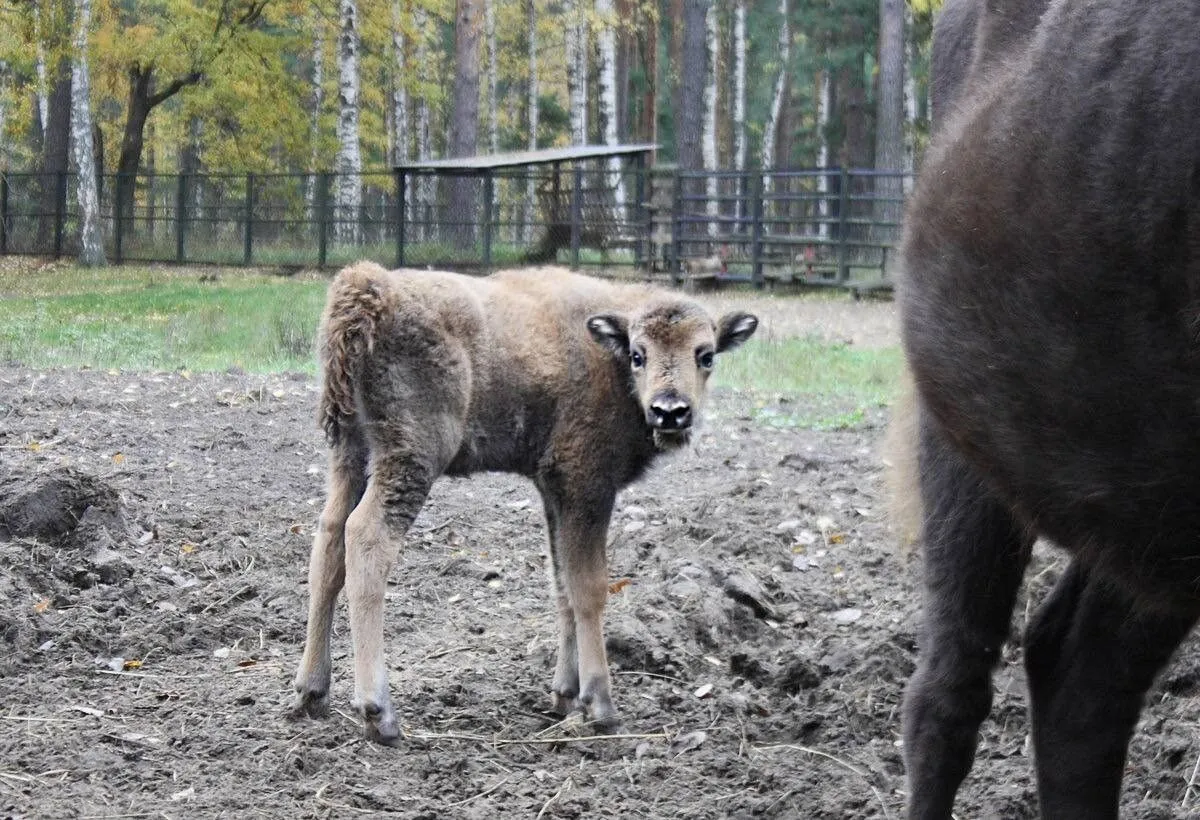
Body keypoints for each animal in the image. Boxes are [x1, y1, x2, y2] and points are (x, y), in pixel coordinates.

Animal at [291, 262, 758, 744]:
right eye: (637, 354)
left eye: (706, 355)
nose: (670, 411)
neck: (606, 354)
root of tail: (372, 288)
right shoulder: (587, 486)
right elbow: (590, 588)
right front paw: (600, 704)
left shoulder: (555, 491)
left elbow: (562, 585)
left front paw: (565, 696)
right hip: (410, 458)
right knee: (365, 541)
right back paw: (379, 713)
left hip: (350, 455)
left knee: (329, 543)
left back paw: (311, 692)